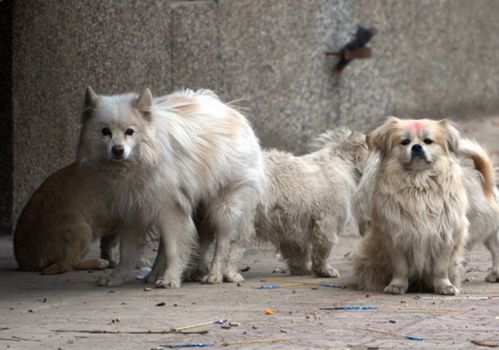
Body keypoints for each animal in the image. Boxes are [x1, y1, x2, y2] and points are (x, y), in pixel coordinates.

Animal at [77, 87, 266, 288]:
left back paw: (213, 274)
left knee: (222, 243)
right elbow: (127, 253)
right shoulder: (134, 212)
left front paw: (170, 278)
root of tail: (233, 112)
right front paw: (116, 277)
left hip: (223, 207)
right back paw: (160, 274)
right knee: (188, 243)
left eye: (130, 131)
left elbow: (174, 250)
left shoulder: (171, 209)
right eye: (105, 131)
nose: (118, 150)